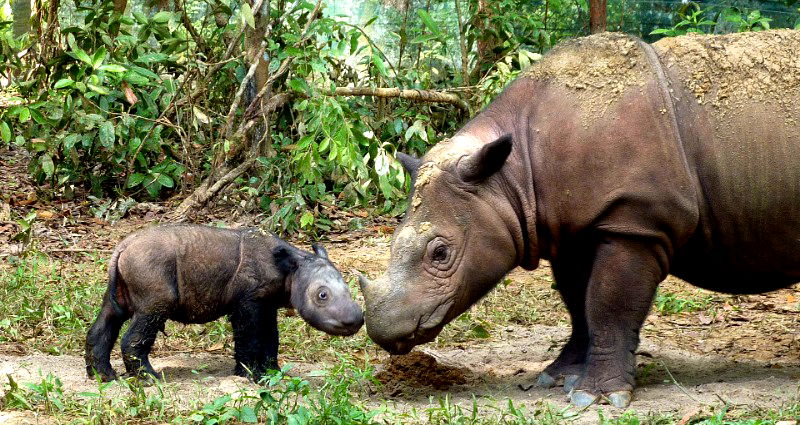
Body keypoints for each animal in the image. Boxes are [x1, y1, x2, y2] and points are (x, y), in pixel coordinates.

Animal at [85, 224, 362, 380]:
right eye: (322, 295)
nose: (356, 320)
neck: (291, 270)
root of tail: (122, 247)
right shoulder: (248, 302)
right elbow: (250, 337)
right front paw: (253, 377)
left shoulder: (266, 303)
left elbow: (271, 338)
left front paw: (273, 373)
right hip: (149, 266)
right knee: (150, 313)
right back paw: (150, 379)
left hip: (127, 272)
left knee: (110, 315)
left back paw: (103, 377)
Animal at [360, 30, 800, 408]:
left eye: (440, 253)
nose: (383, 330)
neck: (510, 176)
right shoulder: (567, 229)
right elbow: (578, 302)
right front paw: (558, 377)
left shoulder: (635, 221)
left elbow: (608, 302)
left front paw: (598, 396)